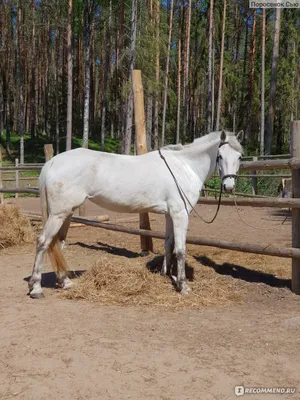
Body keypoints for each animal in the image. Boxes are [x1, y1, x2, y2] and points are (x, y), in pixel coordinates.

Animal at [28, 130, 244, 298]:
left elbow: (168, 244)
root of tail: (53, 162)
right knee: (43, 241)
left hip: (67, 213)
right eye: (220, 156)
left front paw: (165, 274)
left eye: (240, 157)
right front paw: (182, 285)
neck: (184, 166)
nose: (229, 186)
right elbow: (181, 250)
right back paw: (36, 287)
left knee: (58, 243)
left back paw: (64, 282)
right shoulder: (180, 214)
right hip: (59, 214)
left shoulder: (170, 214)